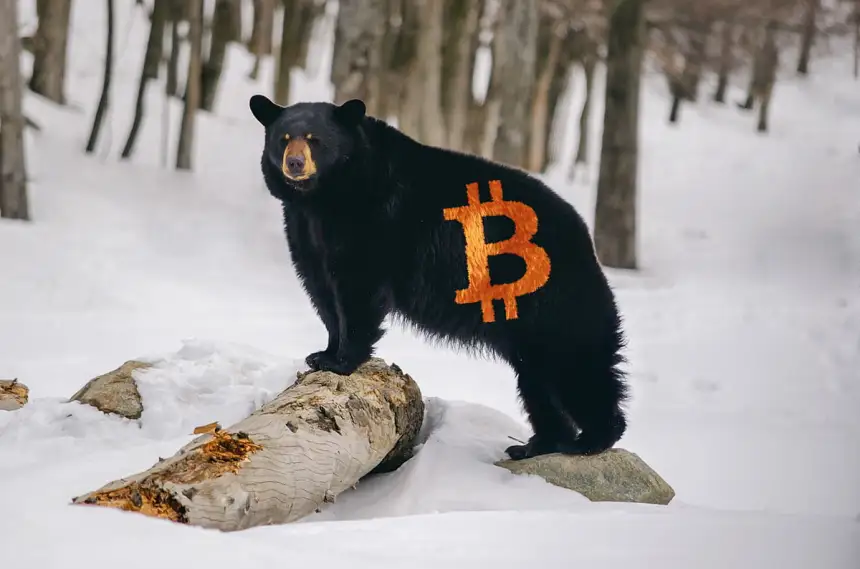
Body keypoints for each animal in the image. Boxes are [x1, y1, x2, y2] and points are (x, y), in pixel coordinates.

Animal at [249, 94, 629, 460]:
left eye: (315, 139)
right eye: (284, 138)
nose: (295, 164)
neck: (324, 196)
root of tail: (586, 244)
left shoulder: (372, 221)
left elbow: (358, 290)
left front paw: (341, 361)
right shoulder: (305, 230)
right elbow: (322, 293)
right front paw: (322, 353)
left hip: (553, 301)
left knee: (578, 369)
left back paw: (592, 439)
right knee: (539, 380)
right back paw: (535, 445)